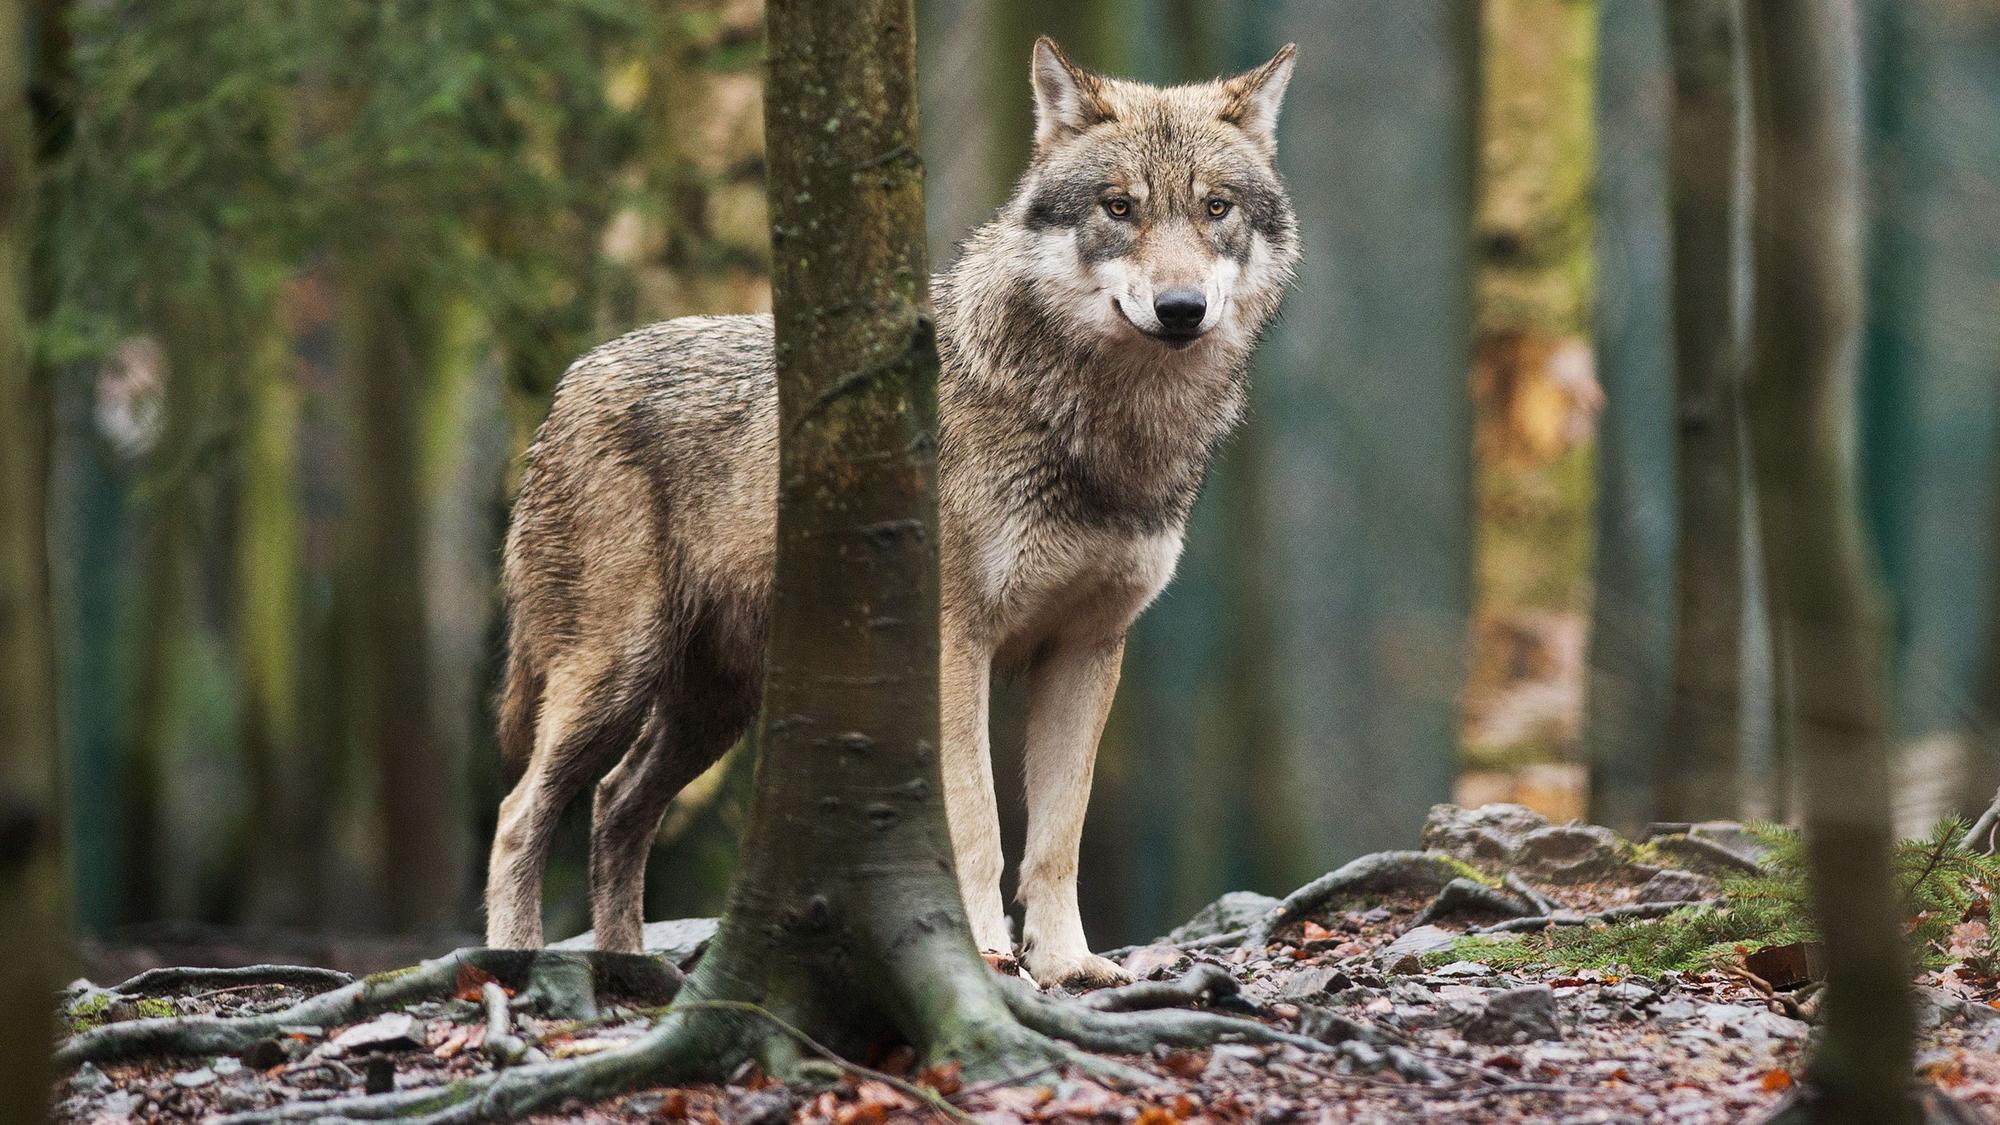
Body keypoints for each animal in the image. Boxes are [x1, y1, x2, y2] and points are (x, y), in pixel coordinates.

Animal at [484, 37, 1299, 987]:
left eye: (1215, 208)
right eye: (1119, 207)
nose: (1180, 308)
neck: (1101, 431)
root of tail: (569, 383)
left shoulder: (1088, 648)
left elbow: (1058, 836)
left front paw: (1069, 964)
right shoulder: (955, 643)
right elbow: (978, 825)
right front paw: (984, 952)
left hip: (714, 707)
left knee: (615, 806)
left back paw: (629, 970)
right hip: (615, 675)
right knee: (520, 813)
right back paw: (516, 963)